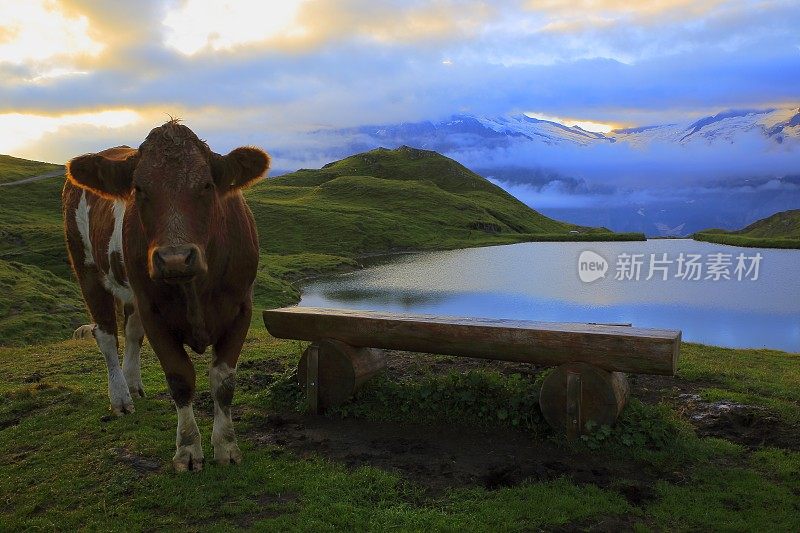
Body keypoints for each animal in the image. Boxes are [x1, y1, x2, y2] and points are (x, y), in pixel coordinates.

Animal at [62, 120, 268, 470]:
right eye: (139, 189)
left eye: (207, 185)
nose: (174, 258)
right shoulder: (154, 312)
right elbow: (179, 378)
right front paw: (188, 450)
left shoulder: (241, 307)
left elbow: (224, 381)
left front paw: (227, 447)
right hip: (86, 268)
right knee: (106, 336)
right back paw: (121, 397)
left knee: (131, 333)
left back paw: (133, 384)